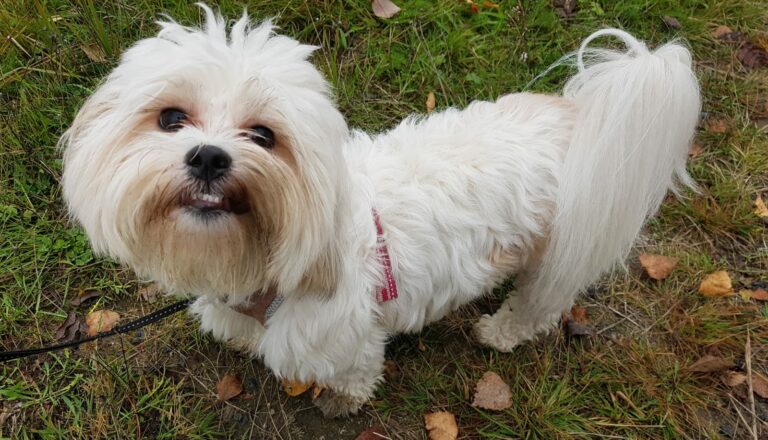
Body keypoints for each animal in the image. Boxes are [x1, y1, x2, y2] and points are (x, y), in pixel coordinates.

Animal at [61, 4, 704, 416]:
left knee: (540, 303)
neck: (266, 259)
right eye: (171, 118)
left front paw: (340, 403)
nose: (210, 156)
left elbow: (354, 376)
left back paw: (500, 331)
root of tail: (577, 121)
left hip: (564, 250)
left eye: (264, 136)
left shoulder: (347, 338)